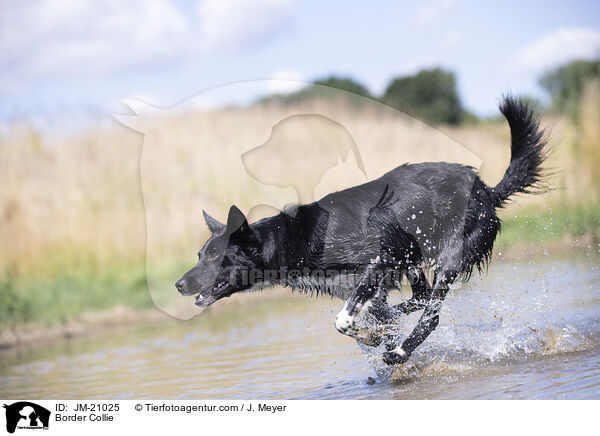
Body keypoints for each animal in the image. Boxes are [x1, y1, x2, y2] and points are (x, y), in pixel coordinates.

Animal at [176, 96, 548, 364]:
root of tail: (487, 191)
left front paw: (377, 337)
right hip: (413, 256)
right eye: (199, 254)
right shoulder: (367, 281)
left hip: (449, 256)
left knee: (430, 314)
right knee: (419, 297)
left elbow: (343, 321)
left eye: (215, 256)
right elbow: (364, 319)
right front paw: (375, 332)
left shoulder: (379, 260)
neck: (293, 238)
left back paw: (399, 353)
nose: (179, 284)